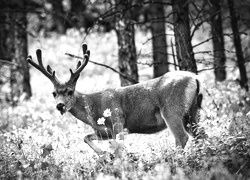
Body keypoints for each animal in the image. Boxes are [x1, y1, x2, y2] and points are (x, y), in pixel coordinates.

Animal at [26, 43, 205, 156]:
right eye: (54, 93)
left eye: (70, 91)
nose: (60, 106)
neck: (94, 108)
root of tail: (195, 78)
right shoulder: (104, 131)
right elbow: (86, 137)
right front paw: (104, 154)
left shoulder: (117, 121)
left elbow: (119, 150)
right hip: (192, 112)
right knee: (201, 135)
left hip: (171, 109)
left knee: (181, 137)